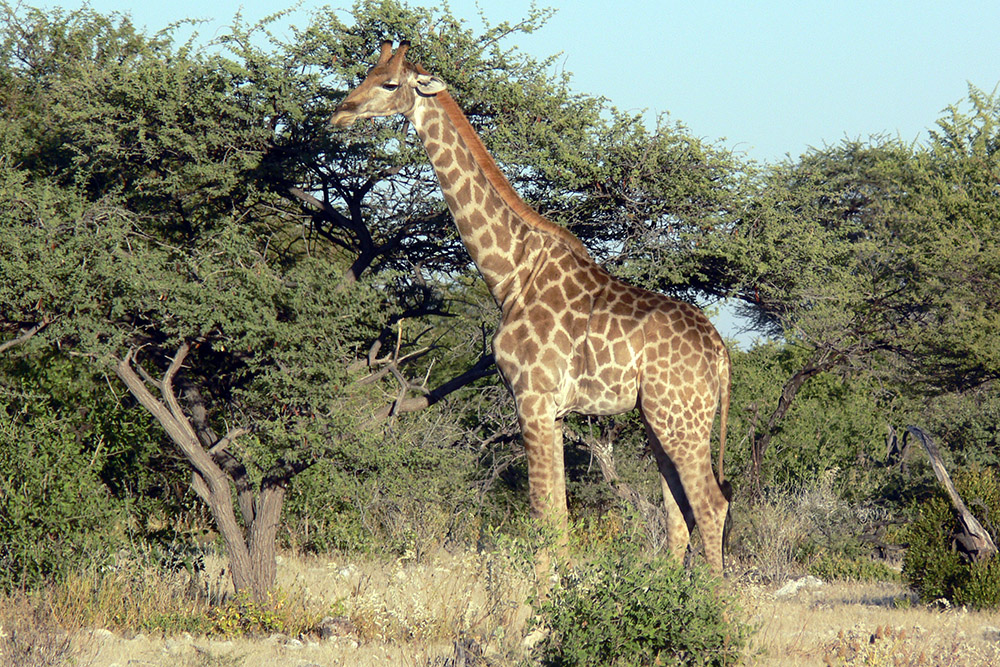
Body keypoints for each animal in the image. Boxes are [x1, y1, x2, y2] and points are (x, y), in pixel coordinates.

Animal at [330, 41, 733, 574]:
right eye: (365, 73)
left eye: (390, 84)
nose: (340, 112)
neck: (510, 274)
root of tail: (722, 354)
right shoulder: (556, 412)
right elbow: (557, 522)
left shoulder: (533, 400)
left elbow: (546, 522)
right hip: (659, 418)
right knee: (677, 509)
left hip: (679, 418)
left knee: (710, 504)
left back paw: (716, 598)